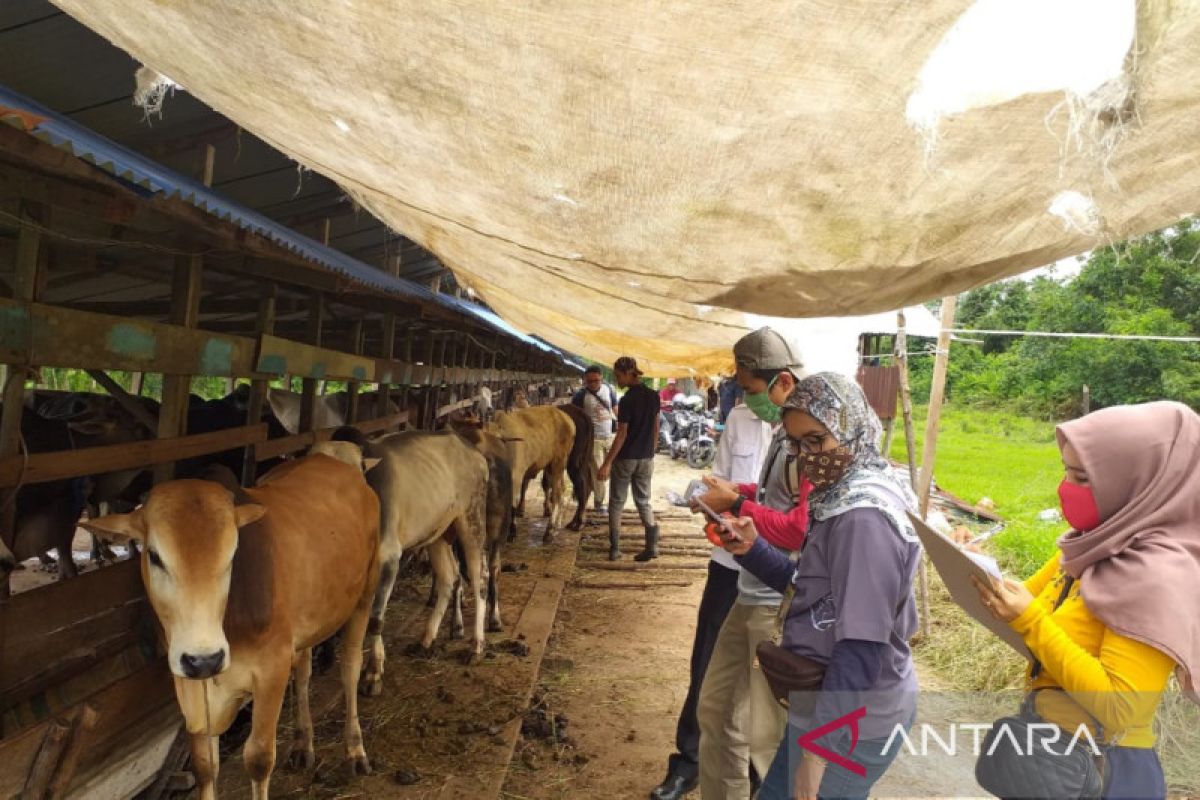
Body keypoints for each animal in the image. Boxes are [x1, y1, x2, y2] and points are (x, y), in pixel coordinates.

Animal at [83, 455, 379, 800]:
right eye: (154, 556)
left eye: (232, 554)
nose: (205, 659)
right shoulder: (189, 685)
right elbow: (205, 766)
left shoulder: (272, 670)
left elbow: (259, 759)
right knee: (304, 674)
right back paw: (302, 745)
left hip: (364, 595)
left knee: (350, 667)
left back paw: (355, 750)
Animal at [489, 407, 578, 544]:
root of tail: (566, 418)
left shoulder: (516, 477)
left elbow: (512, 504)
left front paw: (512, 532)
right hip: (551, 466)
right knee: (561, 490)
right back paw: (556, 525)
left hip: (558, 463)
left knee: (556, 495)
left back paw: (549, 531)